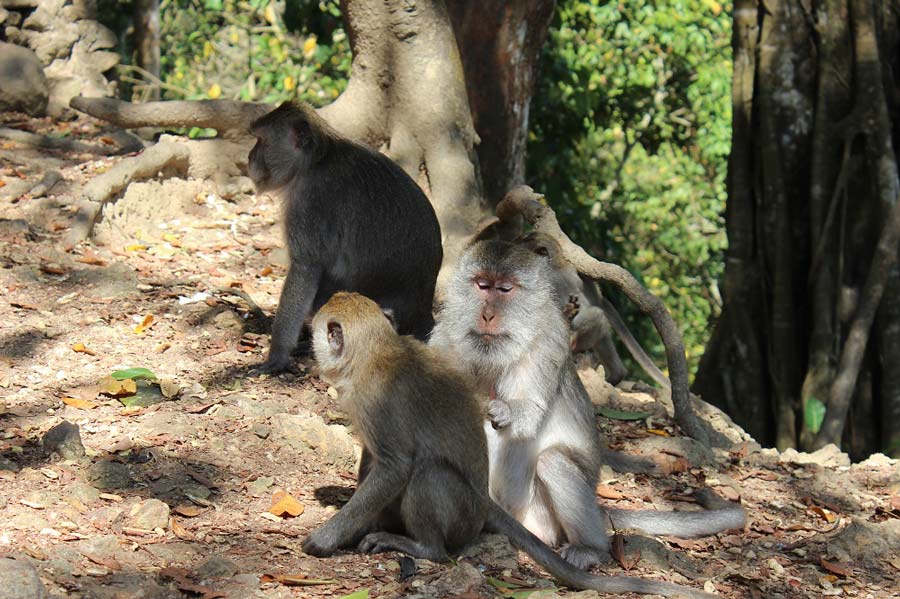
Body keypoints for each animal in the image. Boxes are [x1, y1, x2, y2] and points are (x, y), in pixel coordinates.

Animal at [246, 103, 442, 376]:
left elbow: (305, 268)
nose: (249, 157)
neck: (316, 160)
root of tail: (424, 309)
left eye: (261, 141)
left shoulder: (309, 202)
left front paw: (277, 356)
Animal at [306, 292, 720, 599]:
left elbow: (395, 466)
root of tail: (487, 506)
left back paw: (425, 548)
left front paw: (325, 539)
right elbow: (374, 458)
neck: (374, 352)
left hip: (465, 517)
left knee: (430, 473)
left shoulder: (377, 400)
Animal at [428, 243, 744, 572]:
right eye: (481, 285)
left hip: (540, 518)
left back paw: (590, 548)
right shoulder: (444, 340)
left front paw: (502, 410)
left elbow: (527, 415)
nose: (487, 314)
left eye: (504, 289)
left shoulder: (548, 343)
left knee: (552, 461)